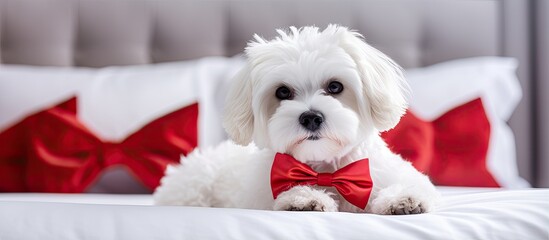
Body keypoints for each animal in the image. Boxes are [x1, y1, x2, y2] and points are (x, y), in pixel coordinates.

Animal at [153, 25, 436, 214]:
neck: (326, 169)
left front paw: (402, 199)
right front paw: (305, 198)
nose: (311, 117)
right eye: (282, 92)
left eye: (335, 86)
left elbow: (410, 185)